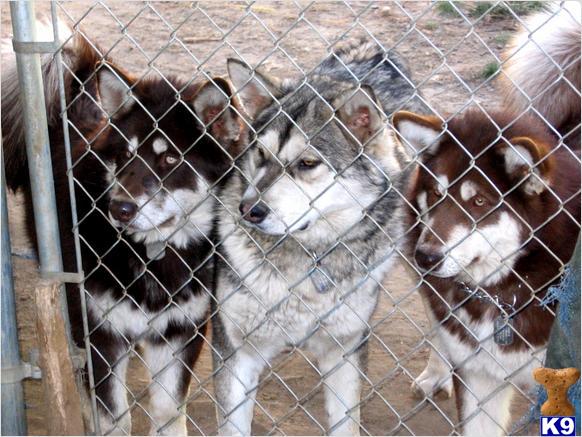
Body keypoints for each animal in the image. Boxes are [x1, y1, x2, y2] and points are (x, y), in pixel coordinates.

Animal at [212, 40, 426, 432]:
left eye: (307, 164)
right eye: (261, 154)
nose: (249, 210)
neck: (306, 260)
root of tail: (370, 49)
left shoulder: (346, 352)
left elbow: (347, 424)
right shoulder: (236, 353)